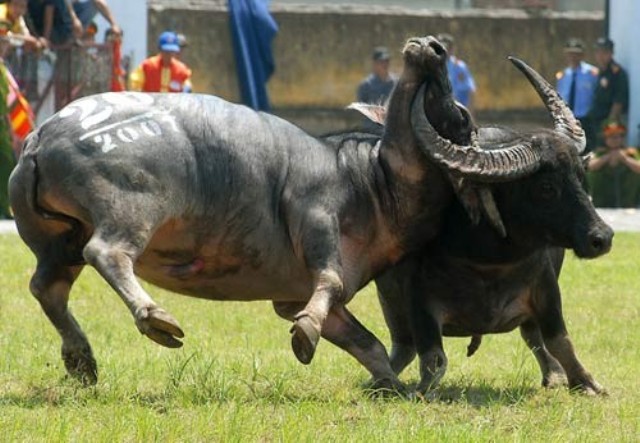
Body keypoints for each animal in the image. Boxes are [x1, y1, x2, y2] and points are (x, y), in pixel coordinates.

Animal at [8, 36, 484, 388]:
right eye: (463, 115)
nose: (430, 46)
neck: (372, 184)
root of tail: (42, 138)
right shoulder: (316, 215)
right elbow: (328, 284)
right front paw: (306, 337)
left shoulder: (293, 295)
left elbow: (366, 342)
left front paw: (391, 384)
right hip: (130, 209)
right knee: (106, 253)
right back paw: (156, 319)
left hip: (58, 240)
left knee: (47, 286)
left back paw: (81, 359)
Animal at [378, 58, 612, 396]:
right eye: (546, 187)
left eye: (581, 177)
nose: (602, 237)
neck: (490, 261)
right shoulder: (416, 298)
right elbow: (434, 357)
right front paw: (419, 390)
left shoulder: (546, 287)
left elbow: (560, 340)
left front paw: (587, 382)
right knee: (403, 344)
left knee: (534, 337)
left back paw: (554, 375)